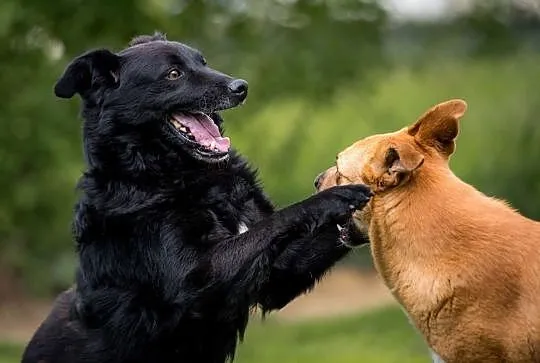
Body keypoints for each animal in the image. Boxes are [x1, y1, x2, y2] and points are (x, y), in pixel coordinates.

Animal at [23, 33, 374, 363]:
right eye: (173, 73)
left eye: (202, 62)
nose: (241, 87)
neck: (178, 174)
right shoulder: (196, 278)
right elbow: (278, 220)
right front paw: (335, 196)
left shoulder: (279, 275)